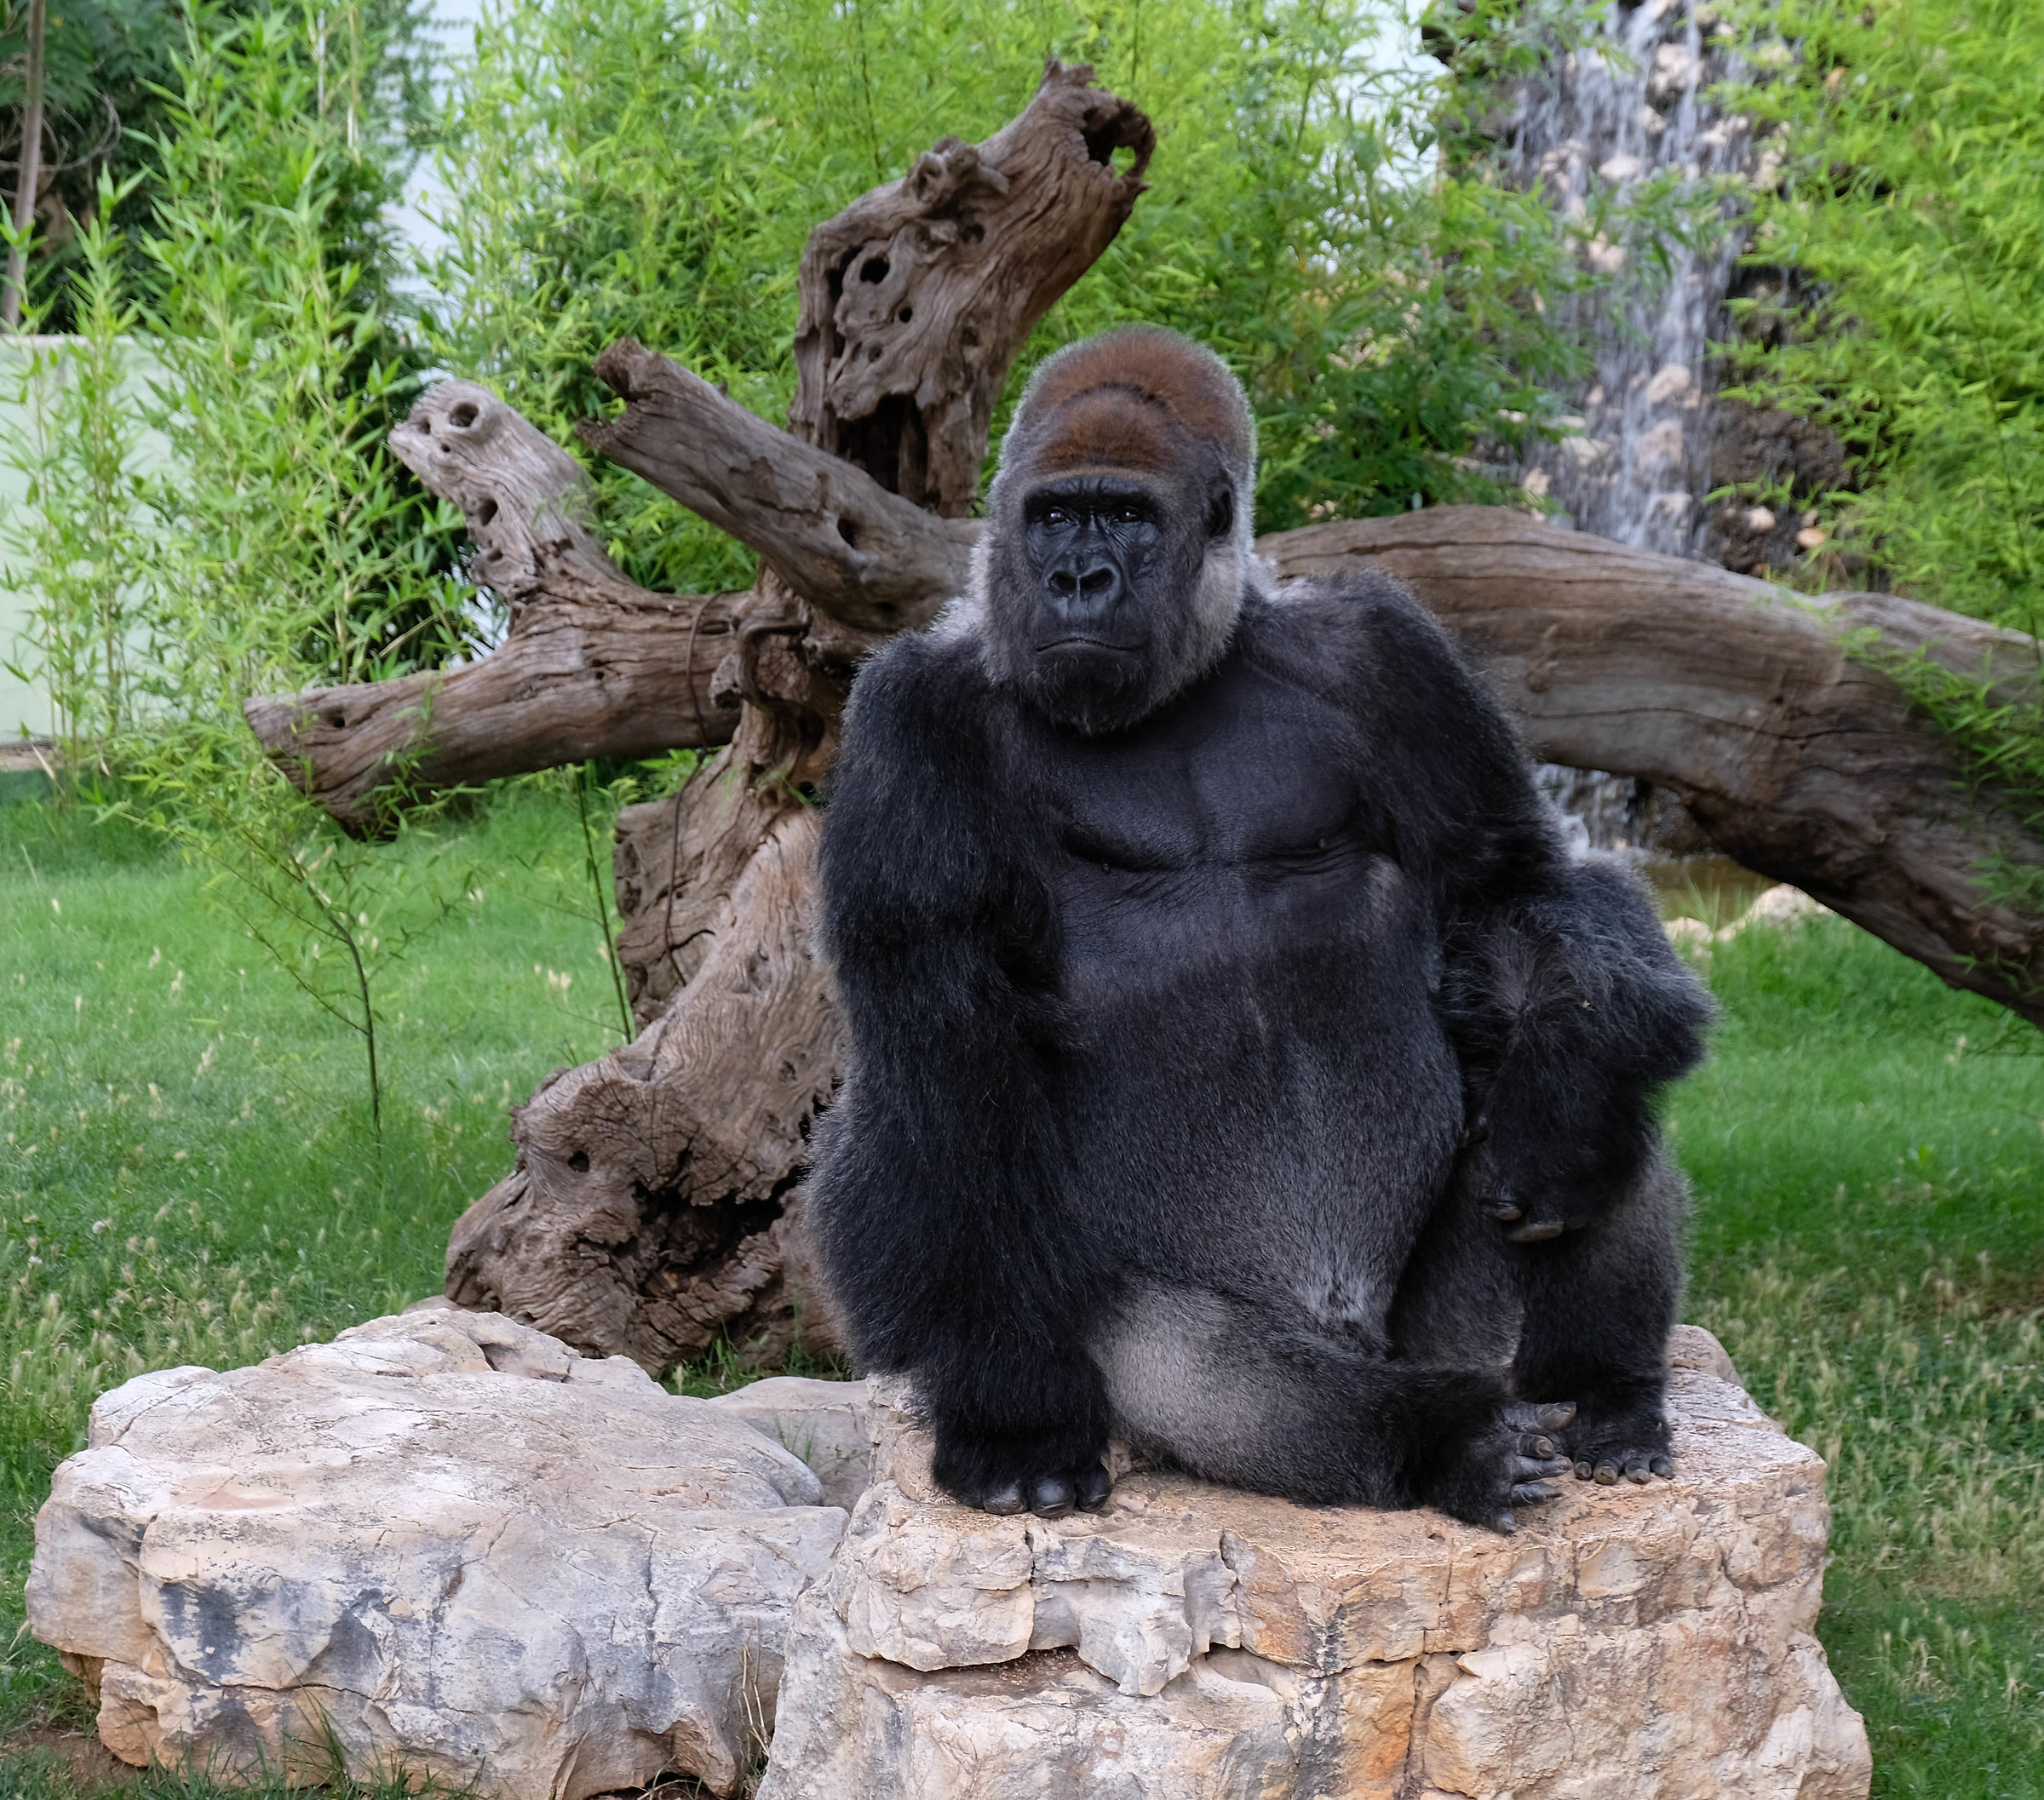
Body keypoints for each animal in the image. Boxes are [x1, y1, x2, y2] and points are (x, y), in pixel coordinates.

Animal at [806, 326, 1712, 1532]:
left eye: (1128, 515)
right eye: (1052, 515)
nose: (1078, 580)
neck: (1192, 675)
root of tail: (1359, 1334)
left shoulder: (1385, 649)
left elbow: (1511, 883)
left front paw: (1560, 1099)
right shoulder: (907, 720)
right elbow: (948, 1058)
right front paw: (1016, 1418)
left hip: (1458, 1333)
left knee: (1602, 1077)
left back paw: (1607, 1387)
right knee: (1215, 1379)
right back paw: (1438, 1443)